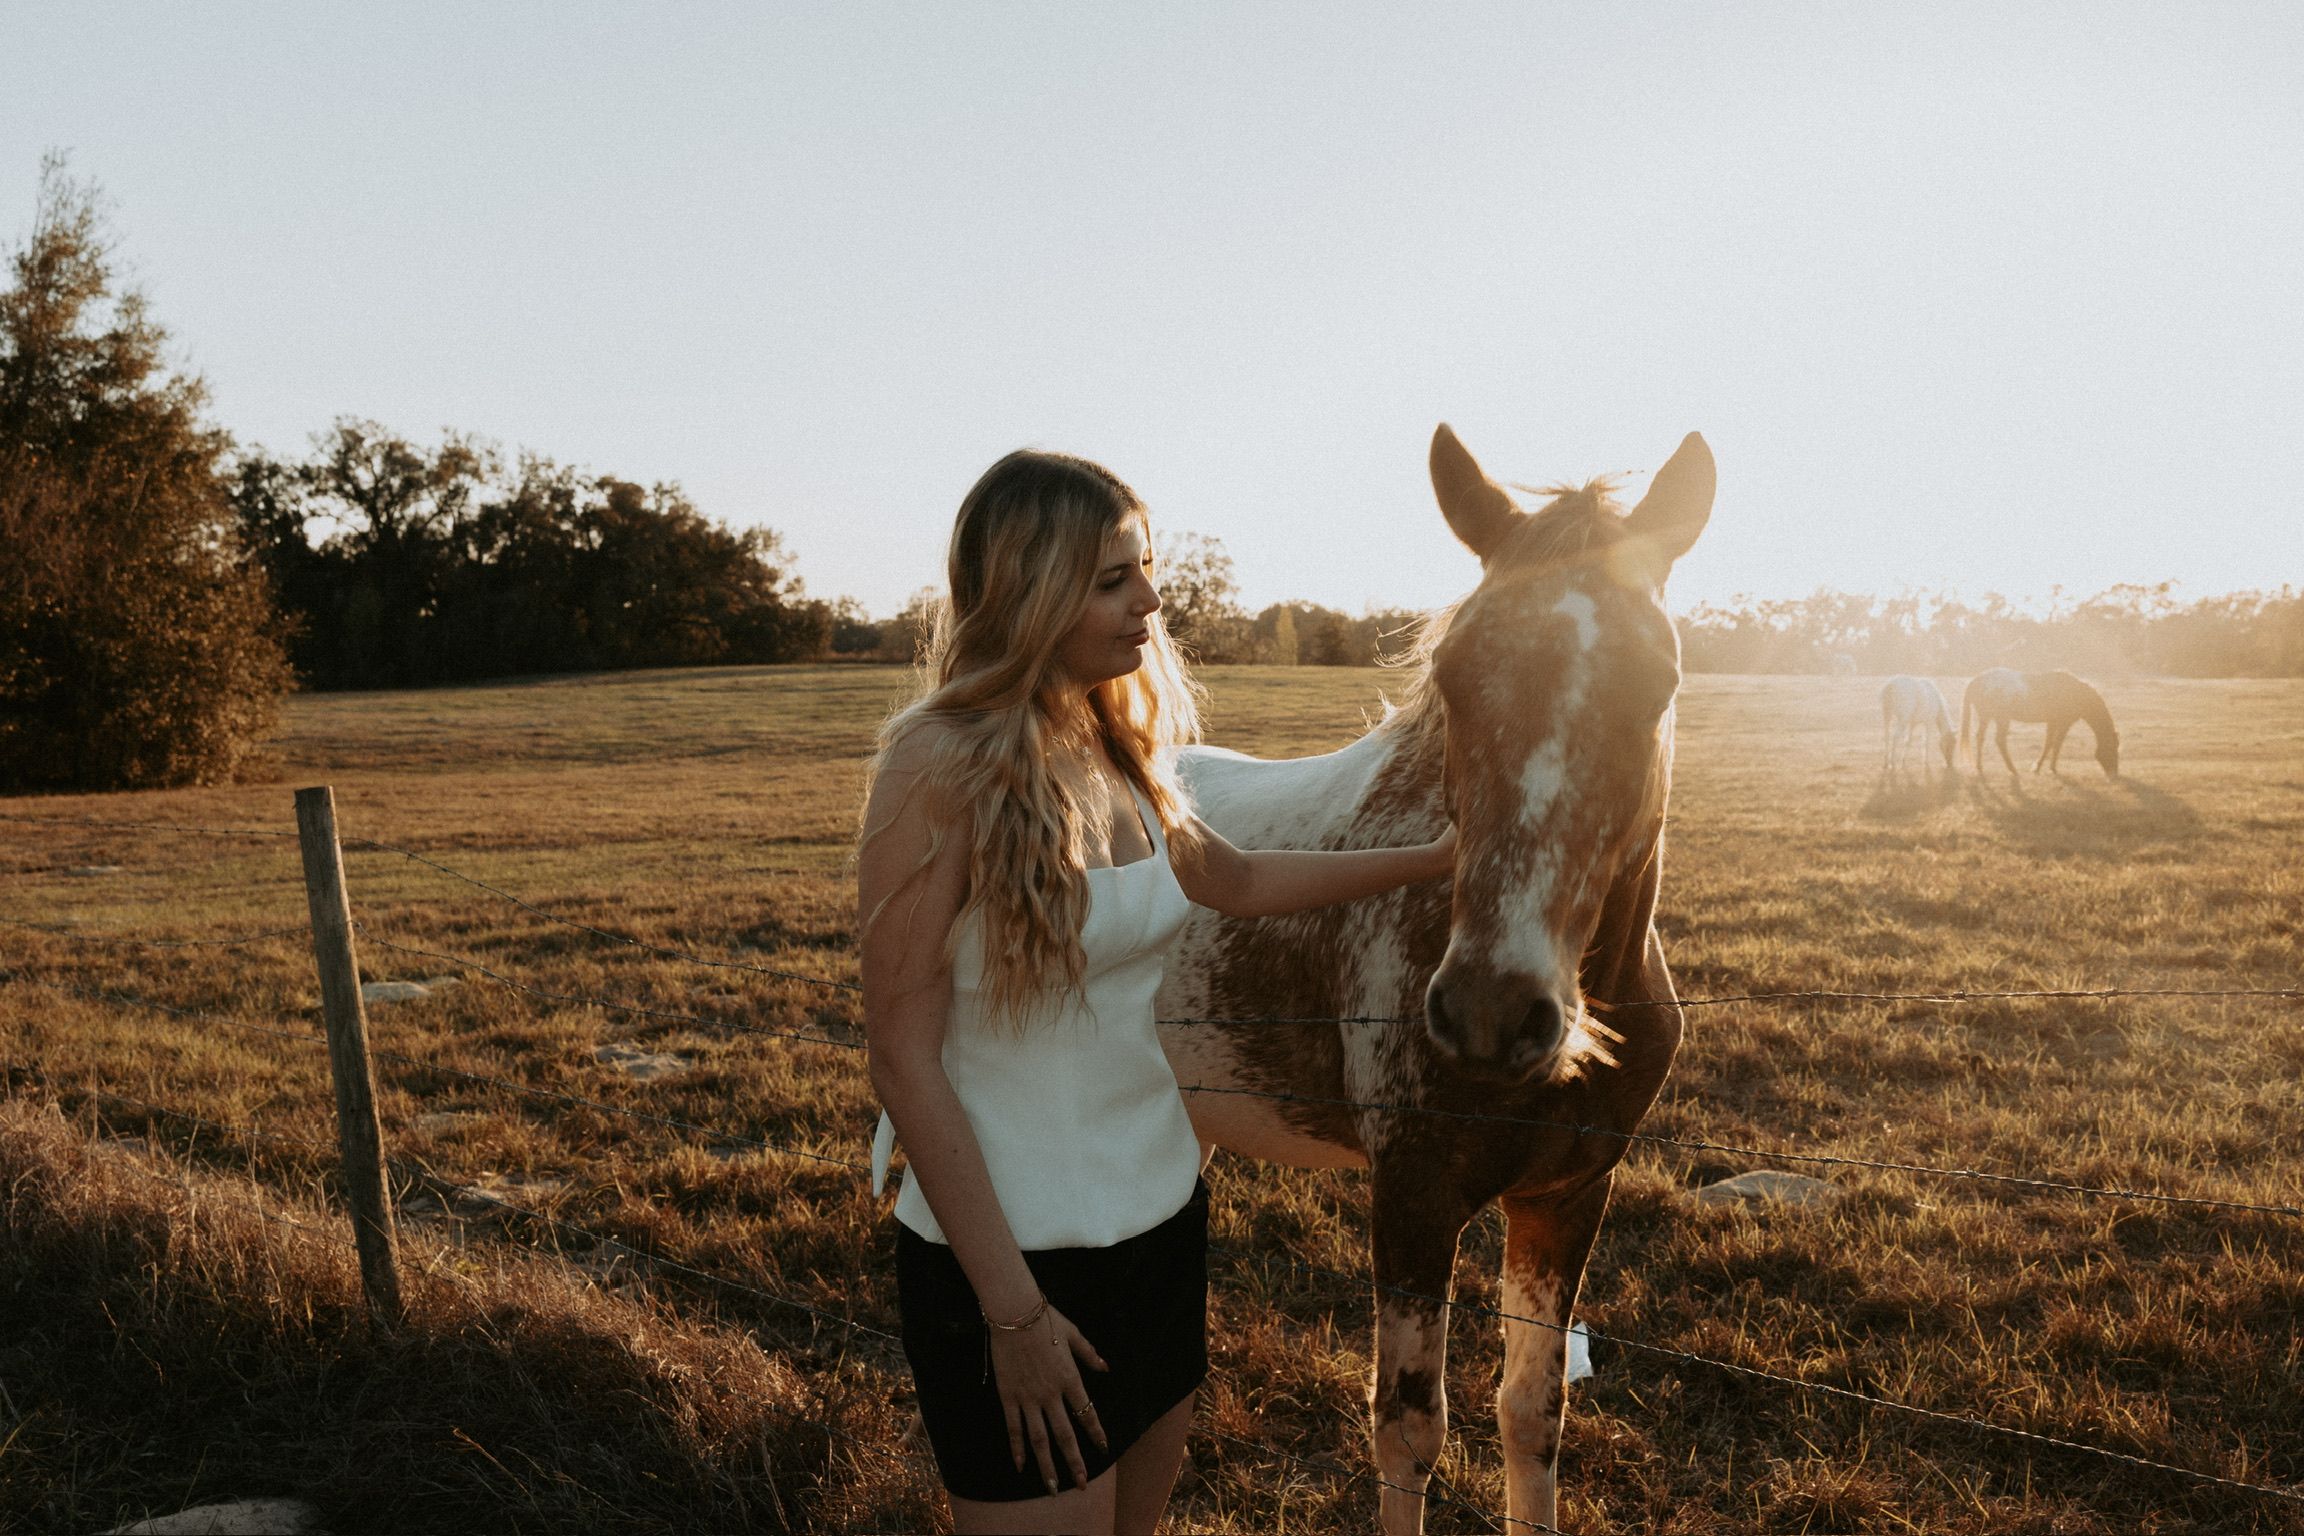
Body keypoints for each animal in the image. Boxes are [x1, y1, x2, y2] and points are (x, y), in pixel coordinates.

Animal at [1157, 423, 1714, 1535]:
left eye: (1661, 681)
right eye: (1454, 675)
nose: (1495, 1012)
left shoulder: (1566, 1196)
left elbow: (1530, 1413)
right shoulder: (1412, 1194)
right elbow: (1410, 1430)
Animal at [1958, 667, 2120, 779]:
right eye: (2112, 751)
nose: (2114, 776)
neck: (2075, 693)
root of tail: (1977, 680)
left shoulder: (2054, 722)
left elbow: (2052, 743)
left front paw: (2045, 768)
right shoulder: (2063, 723)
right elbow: (2054, 744)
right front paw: (2045, 768)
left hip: (1987, 717)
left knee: (1981, 738)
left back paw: (1980, 769)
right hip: (2001, 718)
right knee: (1999, 740)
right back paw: (2012, 770)